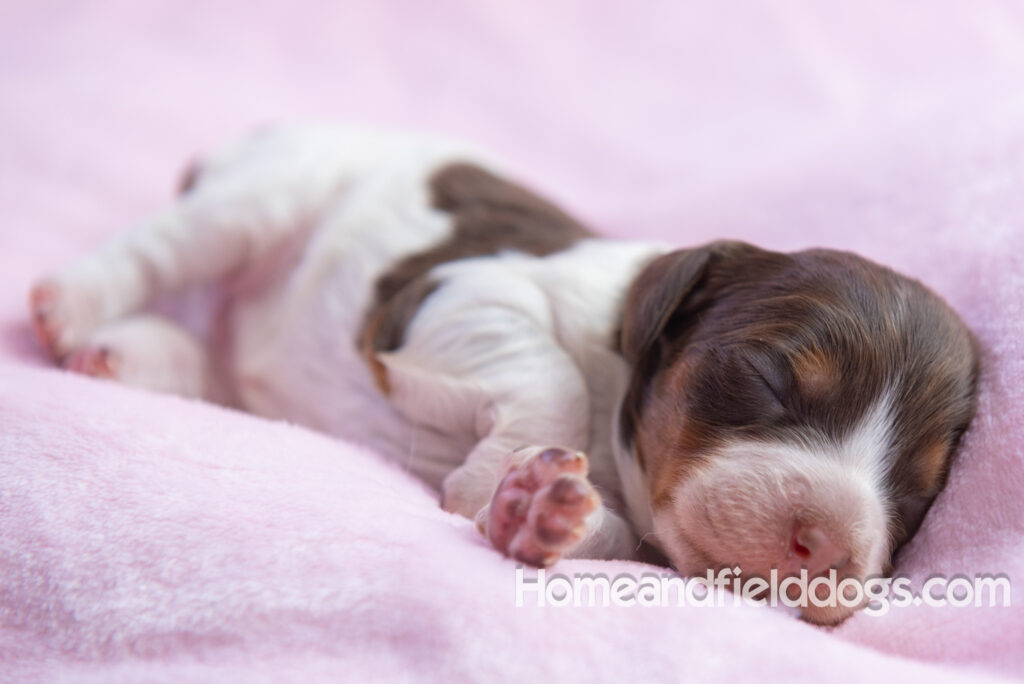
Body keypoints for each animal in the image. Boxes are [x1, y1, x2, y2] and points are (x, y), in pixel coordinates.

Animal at [28, 124, 978, 626]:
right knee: (162, 247)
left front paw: (534, 508)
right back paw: (69, 306)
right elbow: (549, 369)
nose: (830, 551)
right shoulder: (457, 292)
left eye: (920, 490)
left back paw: (127, 355)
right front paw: (490, 477)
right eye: (769, 377)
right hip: (268, 191)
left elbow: (602, 534)